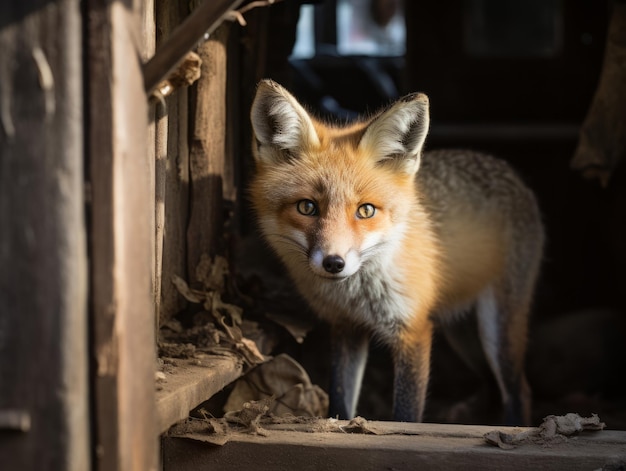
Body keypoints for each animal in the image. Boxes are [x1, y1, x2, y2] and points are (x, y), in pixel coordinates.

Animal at [247, 79, 540, 426]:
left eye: (366, 210)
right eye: (307, 207)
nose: (334, 263)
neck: (358, 295)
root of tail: (507, 169)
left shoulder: (413, 330)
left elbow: (405, 416)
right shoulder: (346, 327)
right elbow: (340, 403)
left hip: (498, 329)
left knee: (519, 389)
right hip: (461, 332)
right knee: (492, 384)